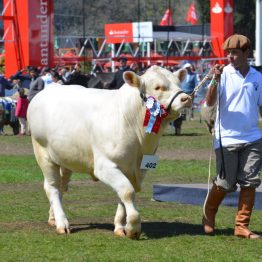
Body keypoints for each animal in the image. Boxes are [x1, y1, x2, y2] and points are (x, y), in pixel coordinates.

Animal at [26, 66, 191, 239]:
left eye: (179, 83)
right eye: (158, 87)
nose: (186, 98)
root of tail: (49, 89)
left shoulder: (139, 169)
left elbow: (123, 194)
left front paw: (120, 226)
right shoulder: (105, 166)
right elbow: (127, 192)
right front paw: (133, 227)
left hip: (66, 158)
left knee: (61, 186)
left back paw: (53, 218)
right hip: (43, 153)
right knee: (52, 187)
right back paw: (62, 223)